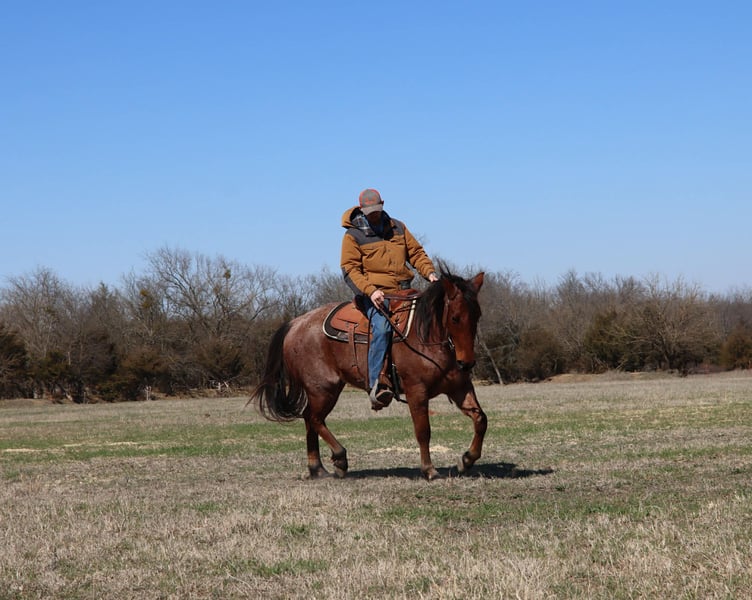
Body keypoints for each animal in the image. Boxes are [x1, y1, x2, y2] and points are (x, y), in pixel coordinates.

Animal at [249, 270, 487, 481]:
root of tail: (295, 324)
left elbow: (481, 419)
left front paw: (467, 460)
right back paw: (340, 459)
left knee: (310, 420)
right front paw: (429, 470)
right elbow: (423, 431)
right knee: (313, 418)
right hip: (323, 389)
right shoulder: (416, 391)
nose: (466, 363)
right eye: (455, 318)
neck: (426, 336)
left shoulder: (460, 387)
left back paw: (317, 469)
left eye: (477, 315)